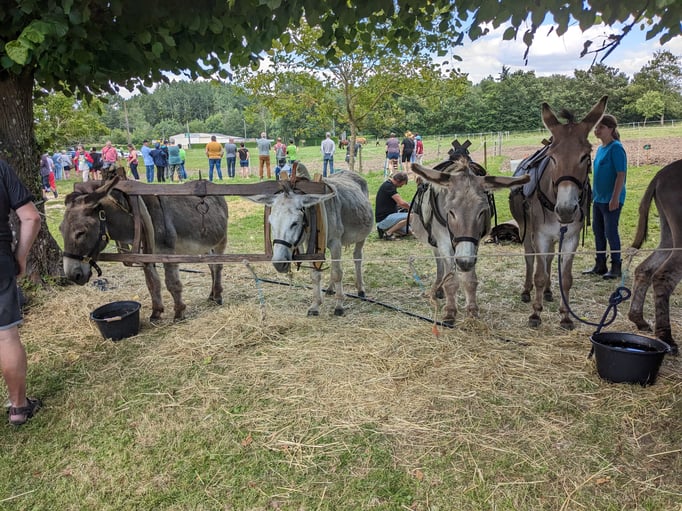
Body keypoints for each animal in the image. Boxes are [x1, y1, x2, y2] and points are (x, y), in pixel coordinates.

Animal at [60, 178, 228, 321]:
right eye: (60, 230)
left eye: (81, 232)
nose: (72, 276)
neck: (136, 217)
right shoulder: (145, 256)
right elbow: (152, 283)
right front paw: (156, 313)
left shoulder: (168, 253)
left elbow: (172, 283)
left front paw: (179, 312)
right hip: (205, 245)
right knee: (211, 266)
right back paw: (212, 294)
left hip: (221, 240)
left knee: (218, 266)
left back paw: (218, 296)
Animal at [246, 170, 374, 316]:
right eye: (270, 222)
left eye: (295, 223)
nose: (279, 264)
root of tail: (349, 172)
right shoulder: (311, 245)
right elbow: (315, 274)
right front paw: (315, 305)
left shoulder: (335, 242)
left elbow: (337, 274)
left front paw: (339, 305)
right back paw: (330, 289)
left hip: (361, 237)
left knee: (357, 257)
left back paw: (360, 289)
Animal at [410, 157, 529, 325]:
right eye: (450, 211)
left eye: (482, 212)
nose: (464, 262)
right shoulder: (444, 242)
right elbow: (451, 280)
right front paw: (450, 312)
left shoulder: (474, 244)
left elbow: (470, 280)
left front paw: (472, 311)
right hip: (435, 242)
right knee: (440, 263)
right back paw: (436, 289)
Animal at [509, 96, 607, 329]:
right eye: (552, 158)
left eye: (585, 156)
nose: (565, 209)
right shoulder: (541, 235)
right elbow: (539, 274)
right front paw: (535, 314)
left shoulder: (570, 238)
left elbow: (566, 278)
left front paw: (565, 316)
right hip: (526, 229)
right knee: (531, 258)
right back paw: (527, 291)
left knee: (550, 259)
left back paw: (548, 292)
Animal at [627, 159, 682, 355]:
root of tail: (659, 175)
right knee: (663, 277)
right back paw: (666, 337)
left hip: (668, 234)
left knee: (644, 268)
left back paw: (638, 319)